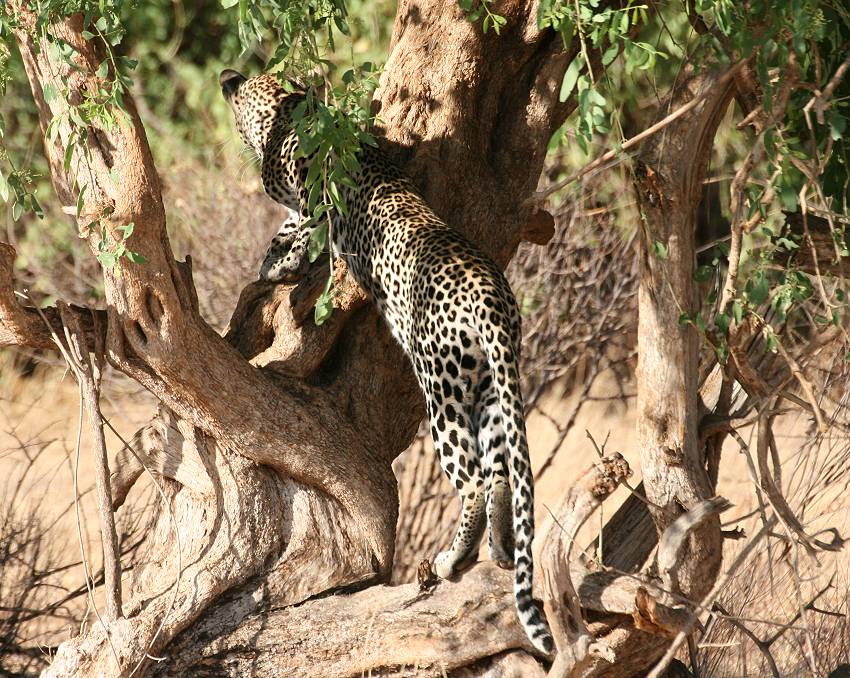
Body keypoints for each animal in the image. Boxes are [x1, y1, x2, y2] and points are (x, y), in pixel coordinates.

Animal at [219, 67, 548, 652]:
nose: (227, 79)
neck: (287, 114)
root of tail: (491, 296)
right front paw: (272, 264)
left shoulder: (312, 205)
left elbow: (298, 231)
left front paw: (277, 266)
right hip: (488, 388)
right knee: (500, 473)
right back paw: (500, 549)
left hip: (441, 388)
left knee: (473, 479)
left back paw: (449, 560)